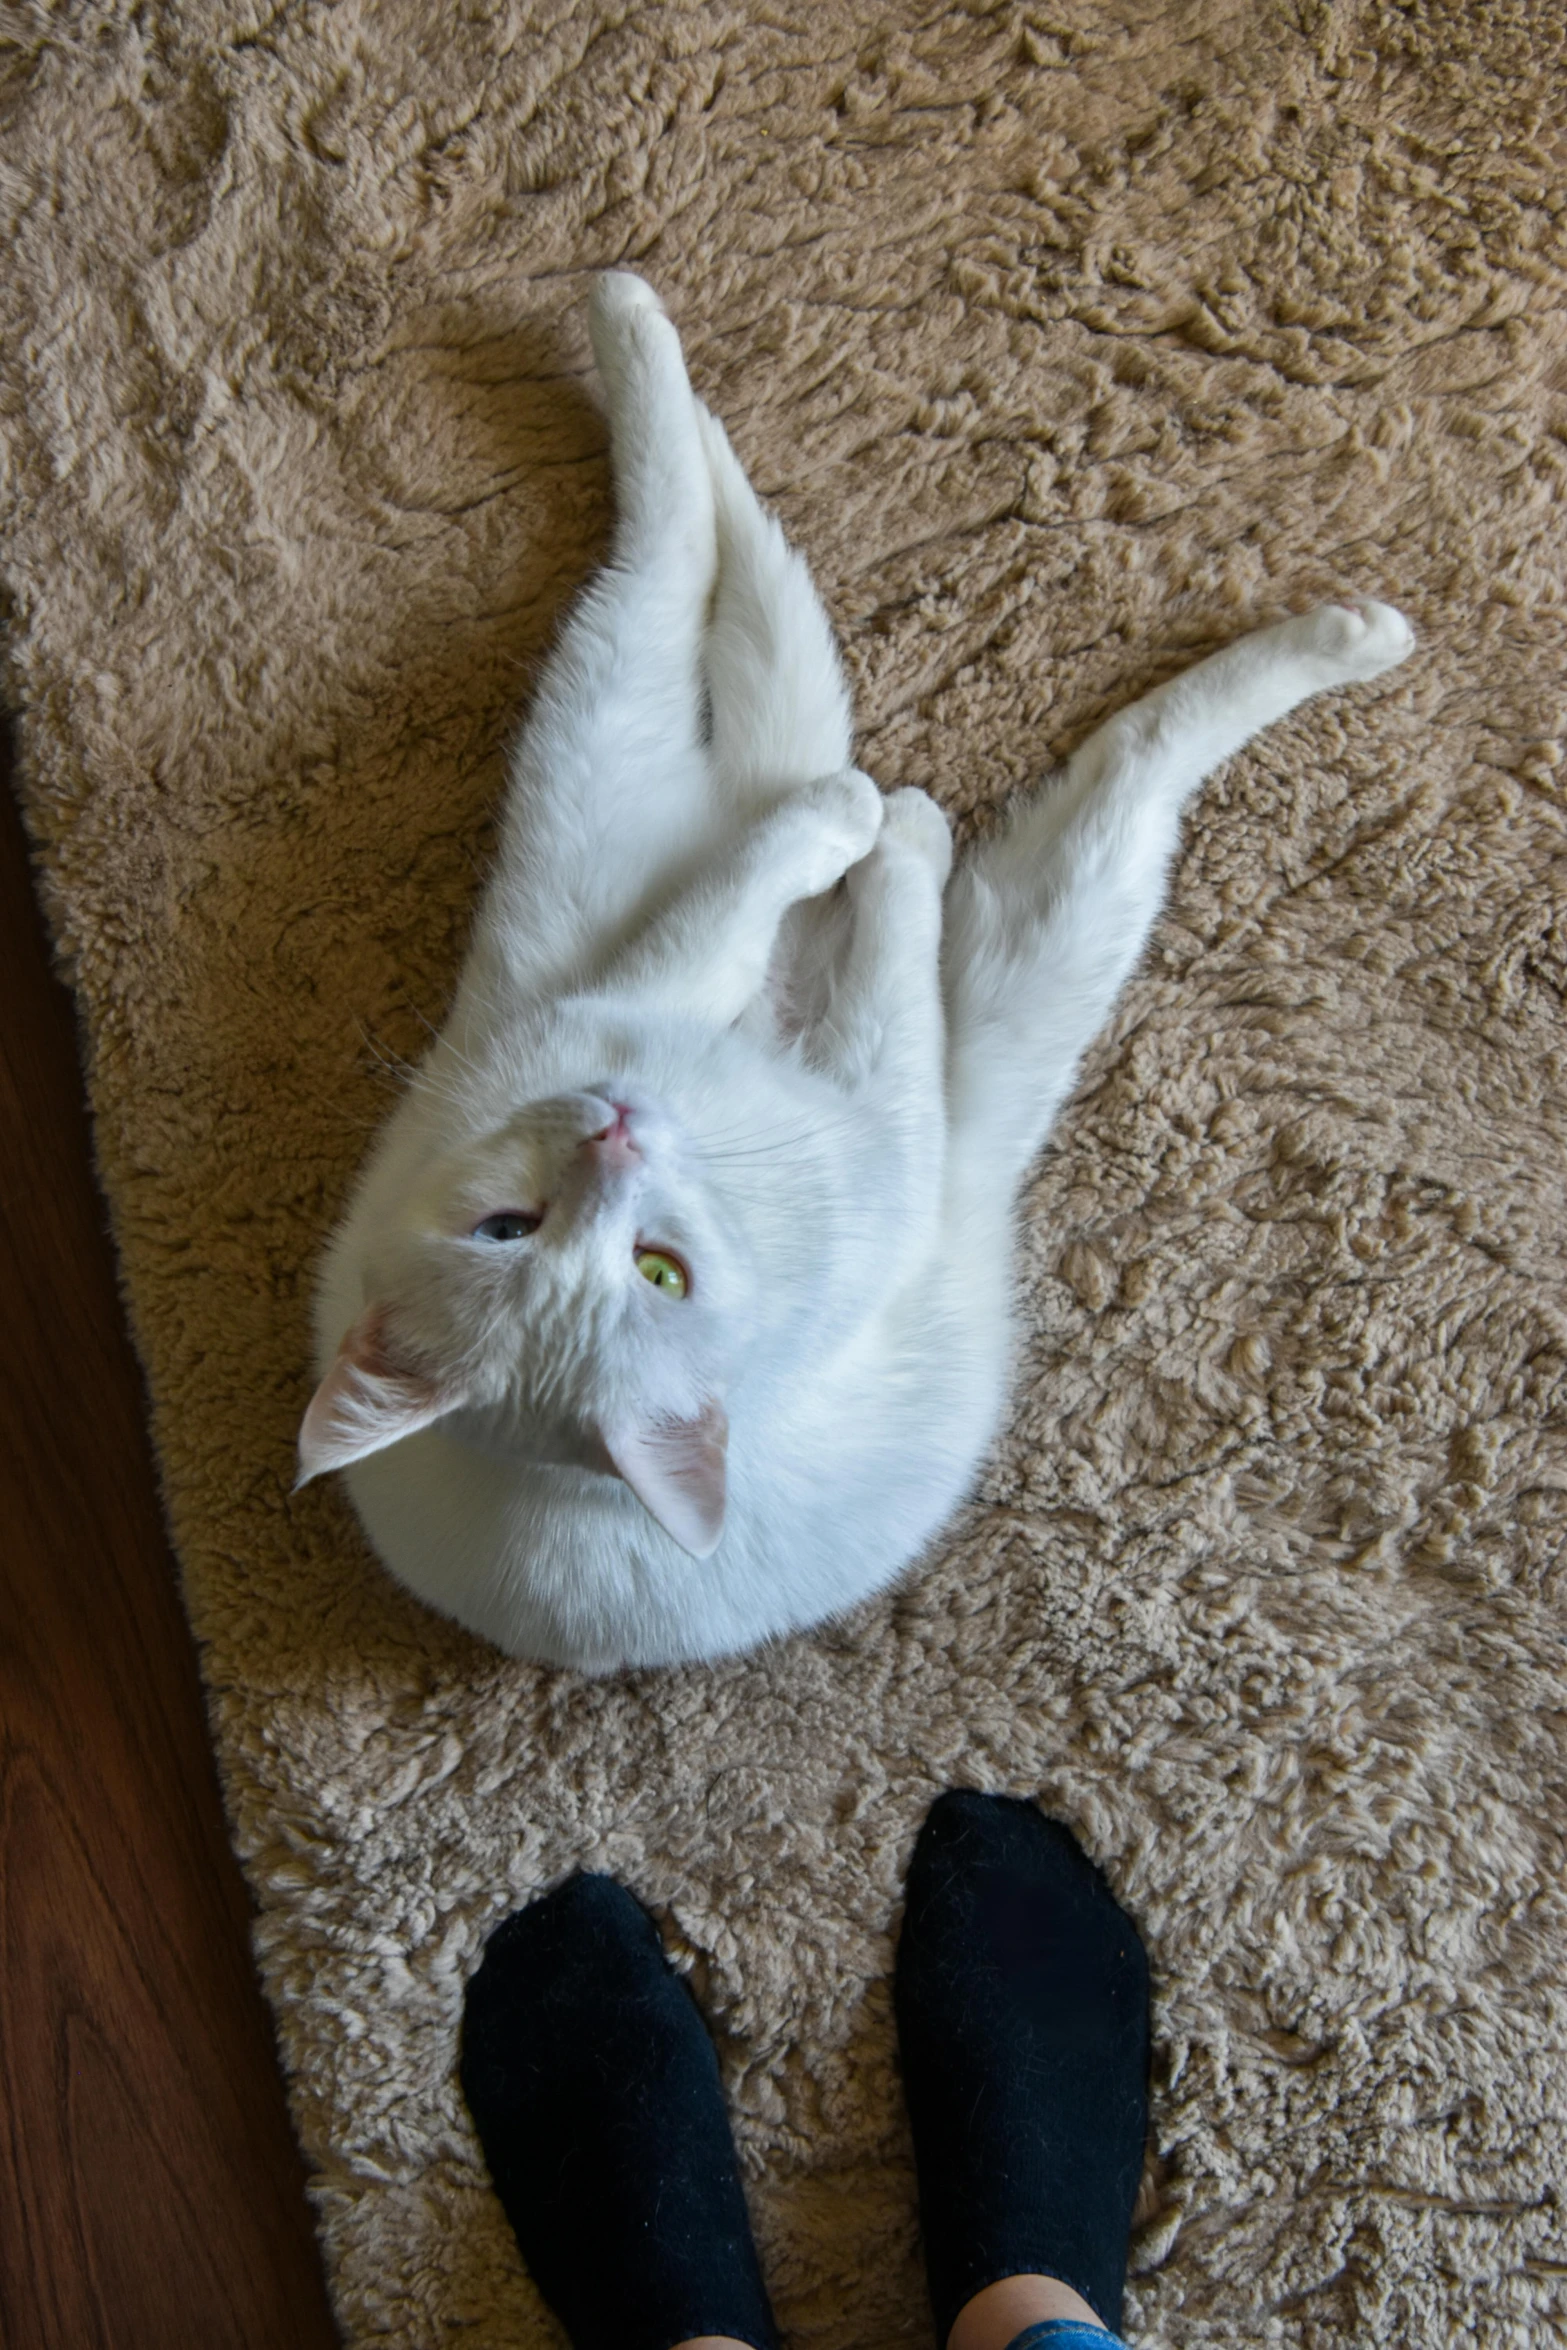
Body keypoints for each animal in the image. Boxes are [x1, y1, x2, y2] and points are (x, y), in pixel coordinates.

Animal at [300, 274, 1418, 1673]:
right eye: (524, 1233)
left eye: (651, 1269)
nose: (614, 1132)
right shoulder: (809, 1065)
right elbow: (840, 922)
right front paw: (881, 834)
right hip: (910, 928)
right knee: (698, 588)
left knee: (732, 589)